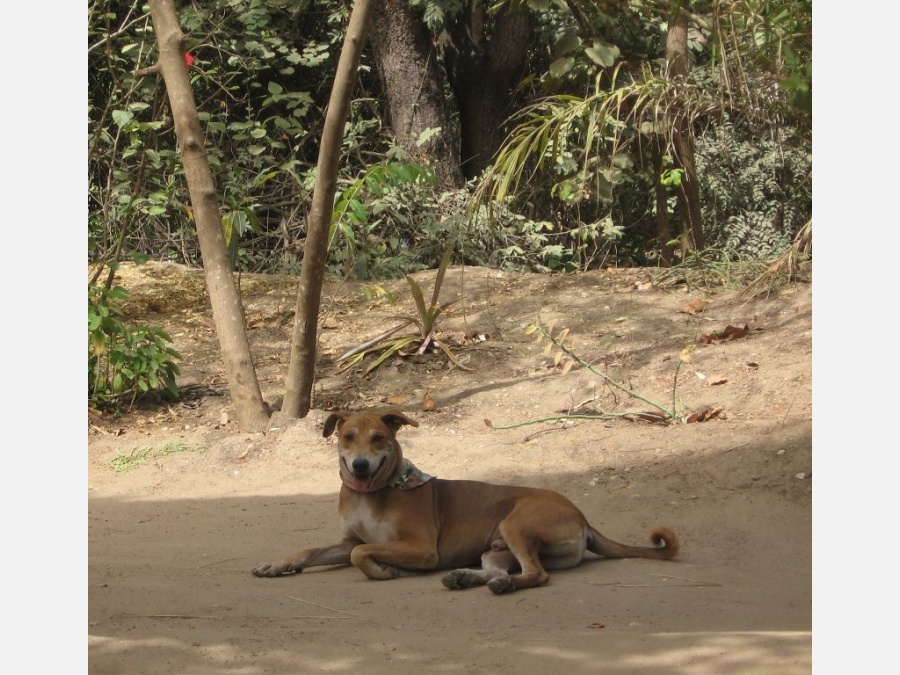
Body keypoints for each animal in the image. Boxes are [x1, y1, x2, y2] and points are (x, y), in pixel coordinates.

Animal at [250, 410, 680, 596]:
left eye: (378, 438)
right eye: (348, 437)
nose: (359, 465)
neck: (372, 494)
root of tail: (583, 517)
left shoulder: (422, 549)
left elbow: (362, 555)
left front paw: (384, 571)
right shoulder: (348, 540)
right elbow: (311, 550)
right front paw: (277, 565)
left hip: (515, 524)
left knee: (538, 574)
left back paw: (505, 585)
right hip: (497, 547)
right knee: (498, 569)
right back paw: (468, 578)